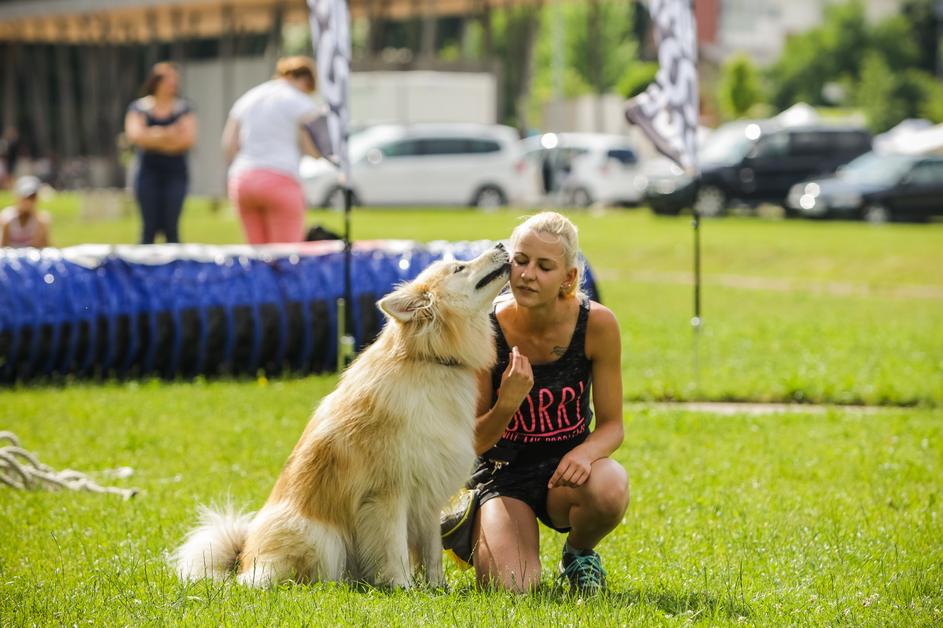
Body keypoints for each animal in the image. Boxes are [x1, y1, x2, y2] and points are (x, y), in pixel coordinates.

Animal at [171, 245, 508, 588]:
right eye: (459, 268)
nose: (500, 246)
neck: (429, 359)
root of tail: (244, 561)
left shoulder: (428, 492)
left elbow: (432, 551)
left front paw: (437, 587)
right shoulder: (388, 493)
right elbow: (395, 549)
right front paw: (404, 587)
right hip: (321, 538)